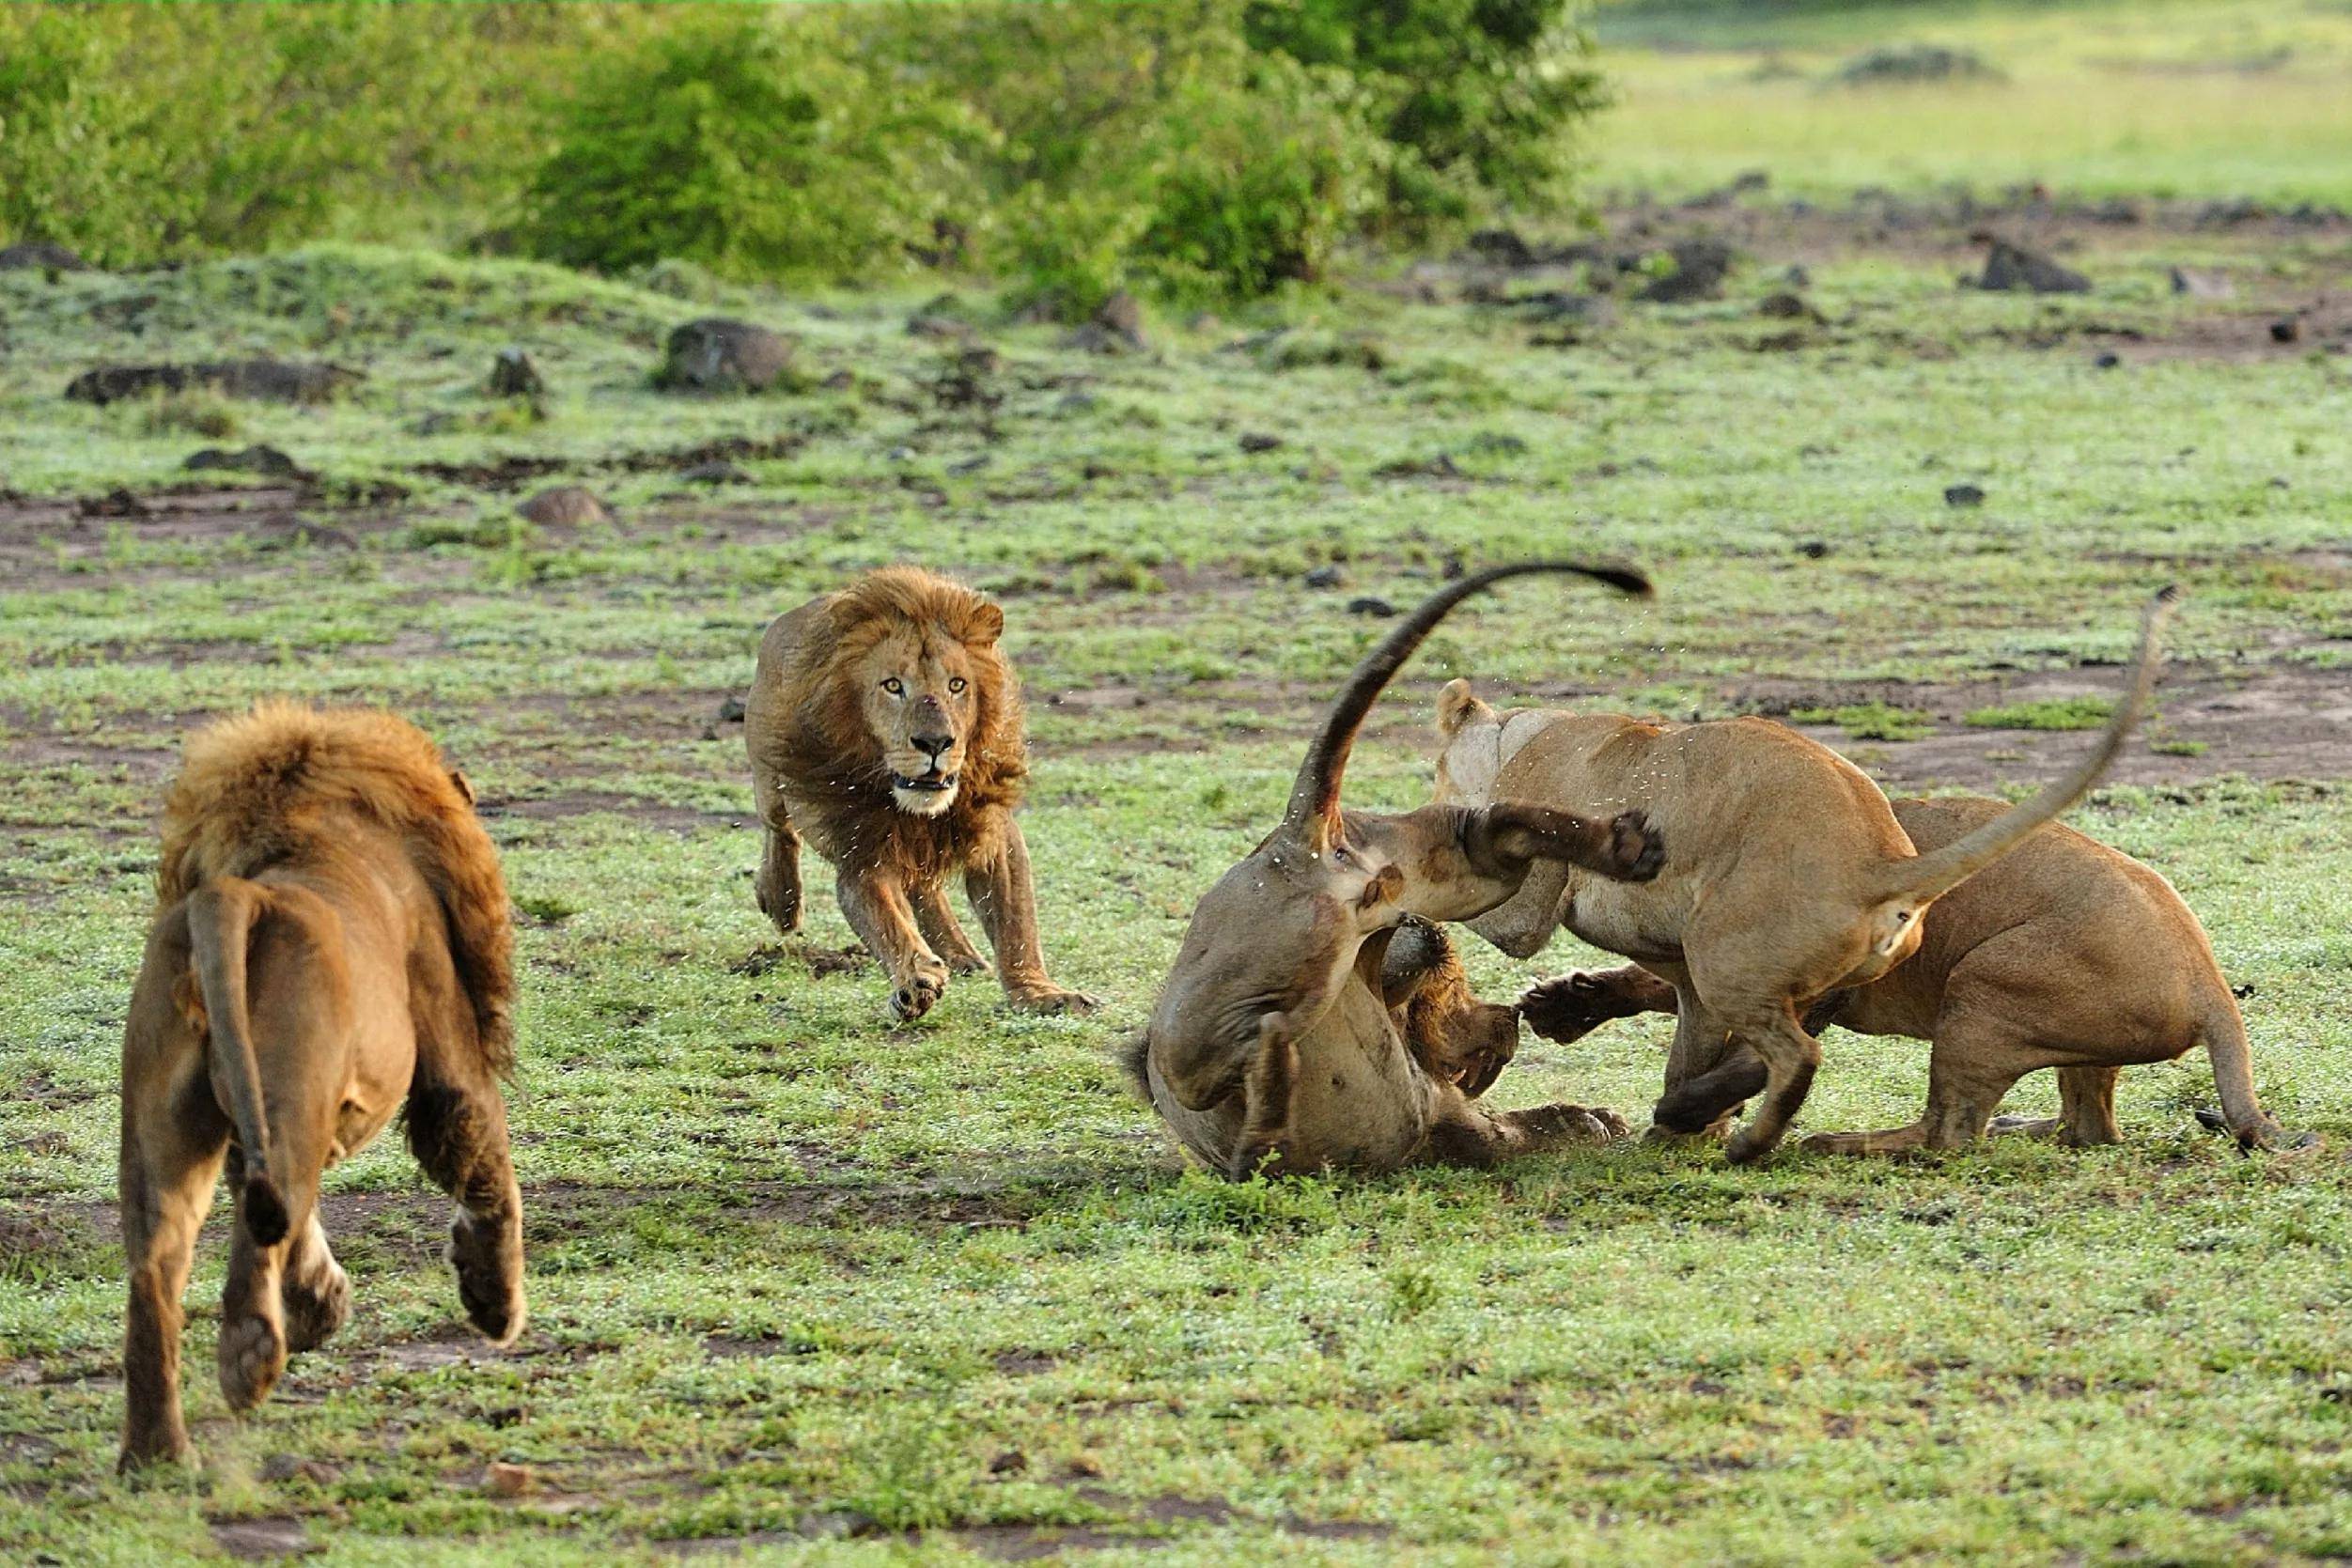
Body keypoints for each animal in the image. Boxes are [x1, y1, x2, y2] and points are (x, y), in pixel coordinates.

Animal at [117, 709, 524, 1476]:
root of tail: (237, 895)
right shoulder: (442, 1022)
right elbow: (480, 1150)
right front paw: (495, 1302)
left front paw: (321, 1303)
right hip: (295, 1088)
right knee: (264, 1223)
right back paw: (250, 1358)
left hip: (162, 1126)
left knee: (160, 1262)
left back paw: (157, 1455)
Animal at [738, 564, 1096, 1019]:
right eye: (893, 686)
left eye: (957, 685)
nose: (935, 743)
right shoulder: (864, 854)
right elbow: (888, 921)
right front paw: (915, 980)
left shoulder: (991, 828)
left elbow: (1015, 921)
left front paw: (1039, 992)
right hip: (772, 767)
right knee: (777, 828)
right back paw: (781, 900)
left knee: (924, 888)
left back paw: (960, 954)